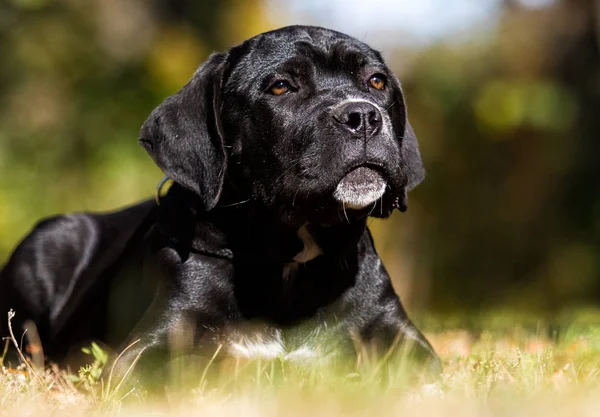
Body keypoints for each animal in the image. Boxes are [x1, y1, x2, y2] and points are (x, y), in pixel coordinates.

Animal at [1, 24, 440, 372]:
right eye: (281, 86)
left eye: (377, 82)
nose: (363, 116)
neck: (289, 260)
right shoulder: (150, 346)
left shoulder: (401, 336)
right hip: (48, 242)